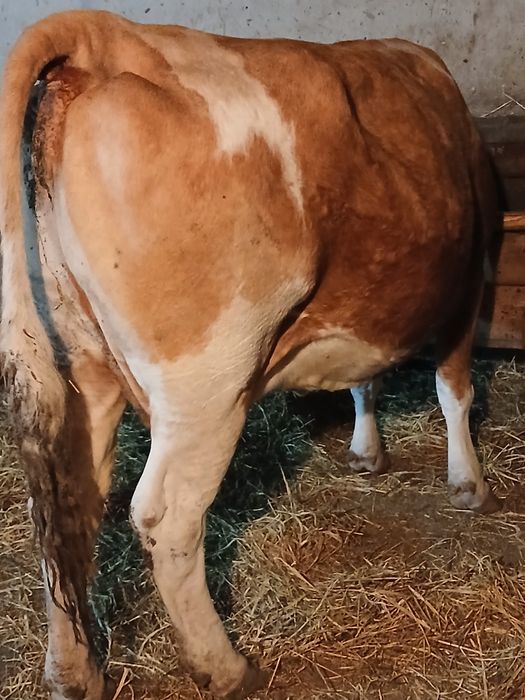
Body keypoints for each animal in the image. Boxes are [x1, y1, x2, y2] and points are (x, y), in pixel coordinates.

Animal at [0, 9, 499, 700]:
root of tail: (107, 34)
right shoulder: (467, 282)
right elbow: (455, 390)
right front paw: (469, 483)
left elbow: (365, 381)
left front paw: (367, 450)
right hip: (208, 381)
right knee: (166, 517)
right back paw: (225, 665)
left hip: (77, 367)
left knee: (66, 507)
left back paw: (74, 673)